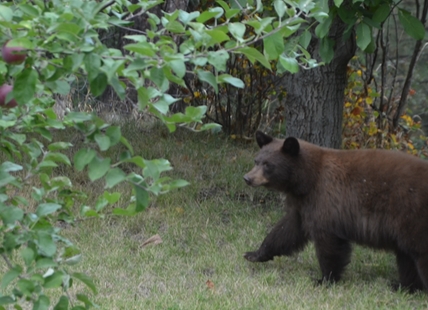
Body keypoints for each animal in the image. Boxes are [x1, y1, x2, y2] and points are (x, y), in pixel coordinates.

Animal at [244, 131, 428, 294]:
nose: (247, 178)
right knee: (406, 257)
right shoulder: (303, 205)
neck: (308, 178)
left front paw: (324, 279)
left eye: (268, 165)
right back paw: (404, 286)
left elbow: (328, 243)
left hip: (412, 215)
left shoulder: (326, 200)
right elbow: (287, 230)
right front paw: (254, 254)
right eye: (256, 160)